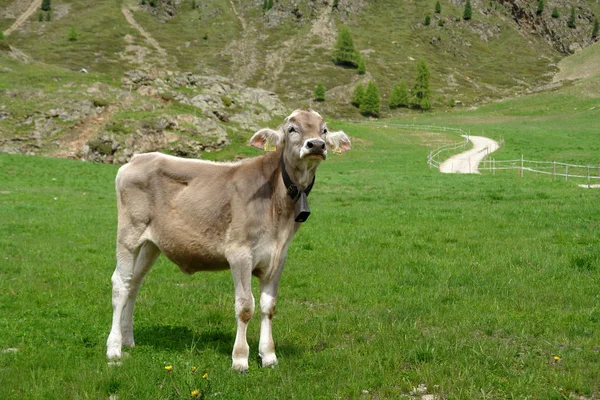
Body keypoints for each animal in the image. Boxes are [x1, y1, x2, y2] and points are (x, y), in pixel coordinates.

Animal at [106, 109, 352, 372]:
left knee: (134, 282)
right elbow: (245, 306)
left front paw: (269, 355)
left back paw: (128, 339)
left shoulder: (278, 256)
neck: (278, 209)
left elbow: (268, 306)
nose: (316, 145)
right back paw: (114, 349)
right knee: (120, 283)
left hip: (151, 244)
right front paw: (240, 359)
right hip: (129, 234)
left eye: (324, 130)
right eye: (291, 129)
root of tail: (138, 158)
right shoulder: (239, 253)